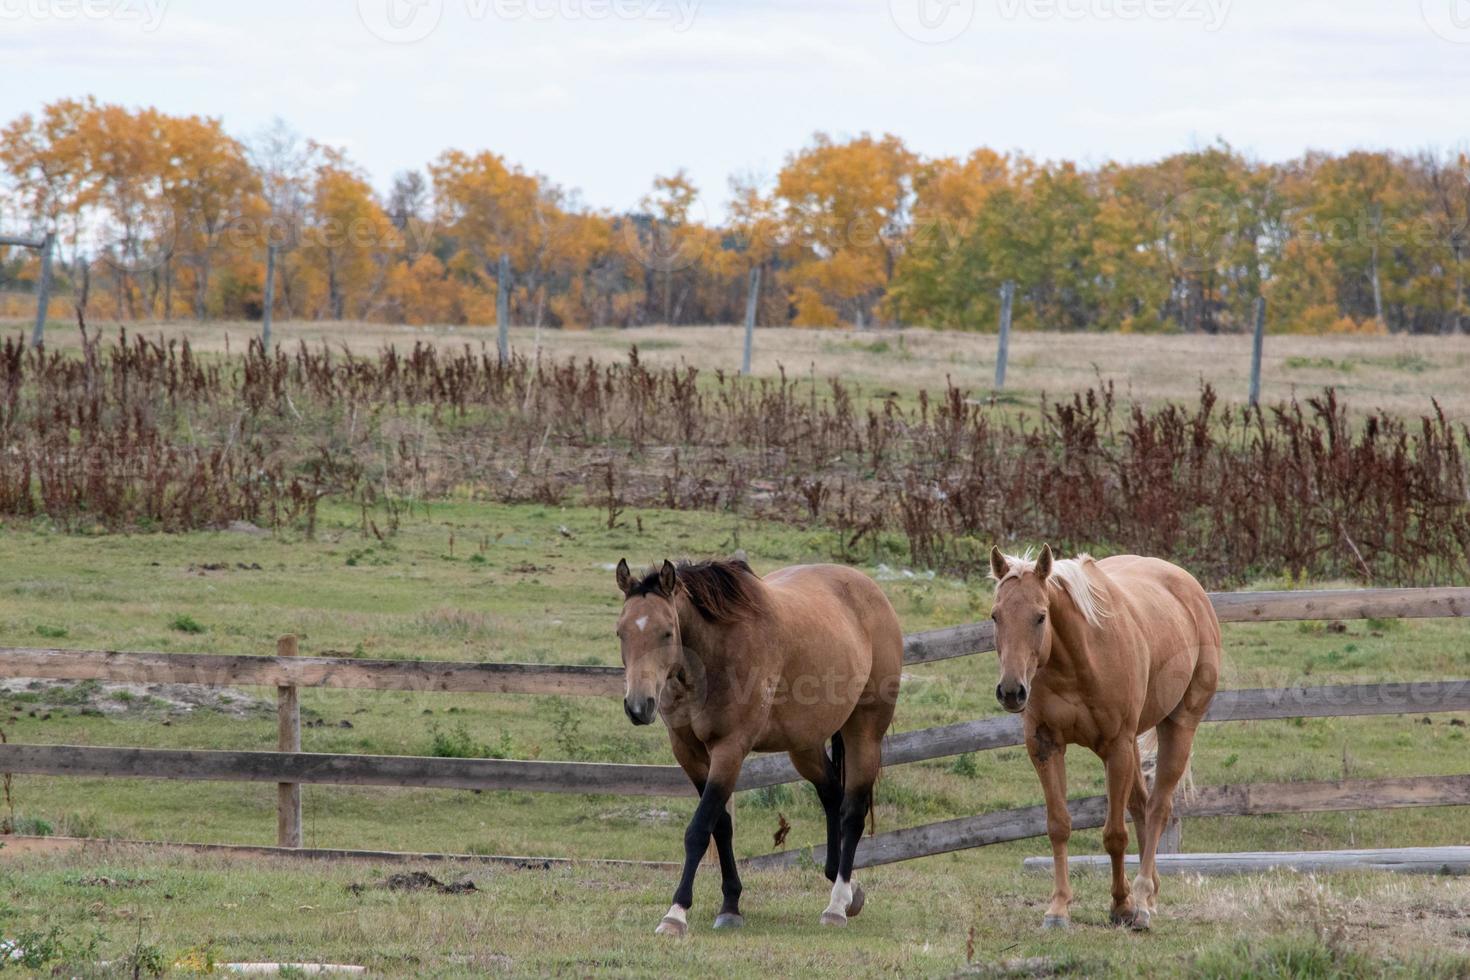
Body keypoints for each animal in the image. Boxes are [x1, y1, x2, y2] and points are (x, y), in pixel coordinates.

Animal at [614, 558, 899, 934]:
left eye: (666, 633)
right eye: (621, 632)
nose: (638, 706)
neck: (714, 655)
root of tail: (872, 591)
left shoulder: (729, 750)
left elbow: (699, 829)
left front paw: (676, 913)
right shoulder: (689, 754)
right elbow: (720, 825)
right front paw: (731, 904)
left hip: (864, 734)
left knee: (852, 812)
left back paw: (837, 905)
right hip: (804, 747)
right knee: (831, 797)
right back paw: (848, 889)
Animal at [993, 549, 1223, 934]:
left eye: (1040, 616)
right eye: (995, 615)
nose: (1012, 691)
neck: (1076, 660)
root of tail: (1190, 588)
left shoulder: (1116, 747)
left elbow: (1115, 835)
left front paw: (1121, 905)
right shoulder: (1044, 746)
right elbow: (1059, 826)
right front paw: (1058, 908)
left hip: (1177, 727)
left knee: (1158, 808)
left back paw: (1142, 901)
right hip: (1133, 746)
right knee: (1141, 806)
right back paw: (1150, 893)